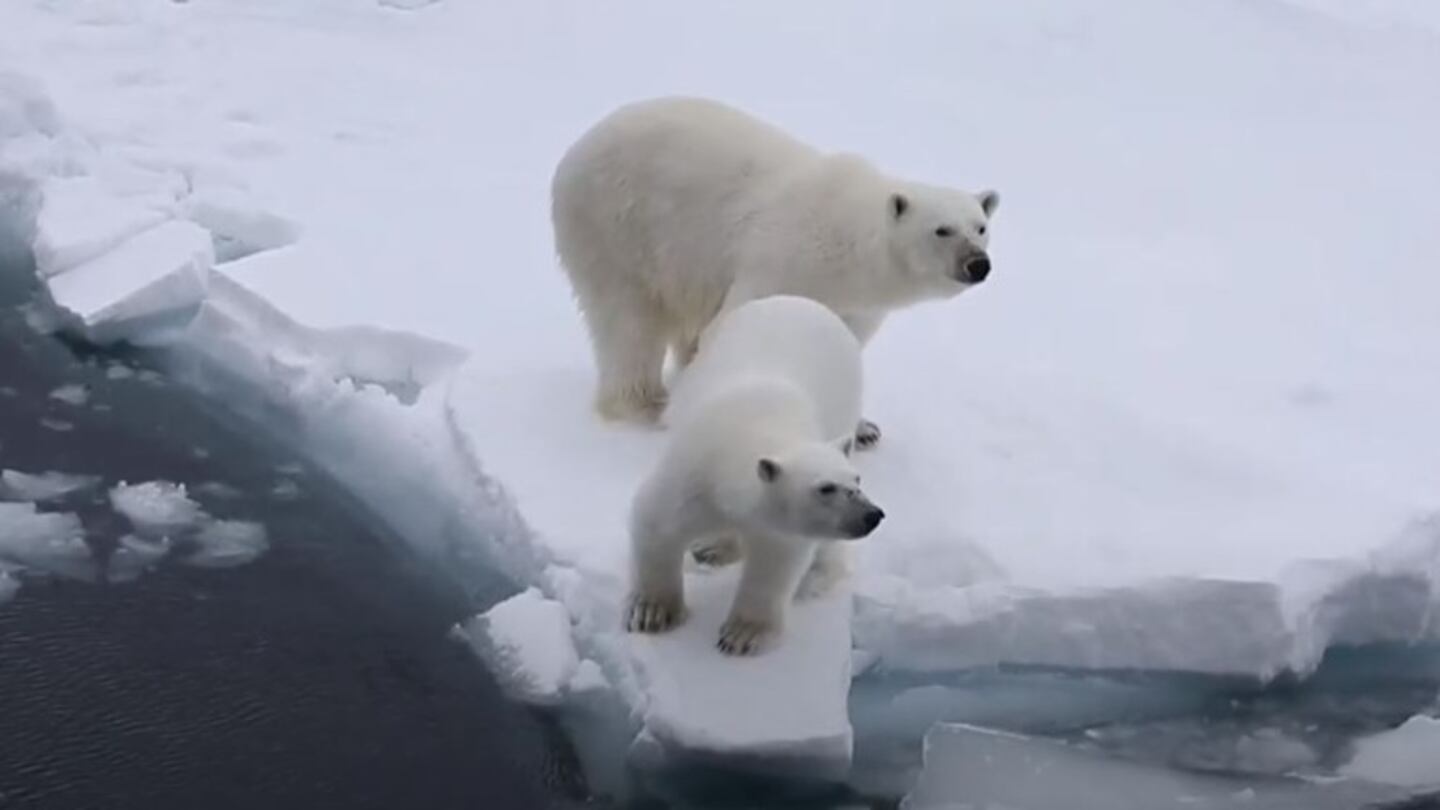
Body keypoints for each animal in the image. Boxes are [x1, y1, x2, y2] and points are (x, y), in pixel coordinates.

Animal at [544, 95, 996, 446]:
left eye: (980, 226)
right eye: (942, 229)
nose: (978, 264)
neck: (848, 246)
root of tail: (575, 150)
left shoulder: (854, 306)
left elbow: (838, 343)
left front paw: (863, 428)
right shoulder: (784, 260)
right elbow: (734, 324)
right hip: (616, 228)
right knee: (628, 321)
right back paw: (644, 404)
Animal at [624, 292, 881, 651]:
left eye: (857, 481)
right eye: (825, 488)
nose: (872, 515)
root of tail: (803, 300)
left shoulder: (780, 524)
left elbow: (774, 562)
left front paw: (741, 635)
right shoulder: (691, 472)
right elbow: (657, 523)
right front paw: (653, 612)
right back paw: (711, 549)